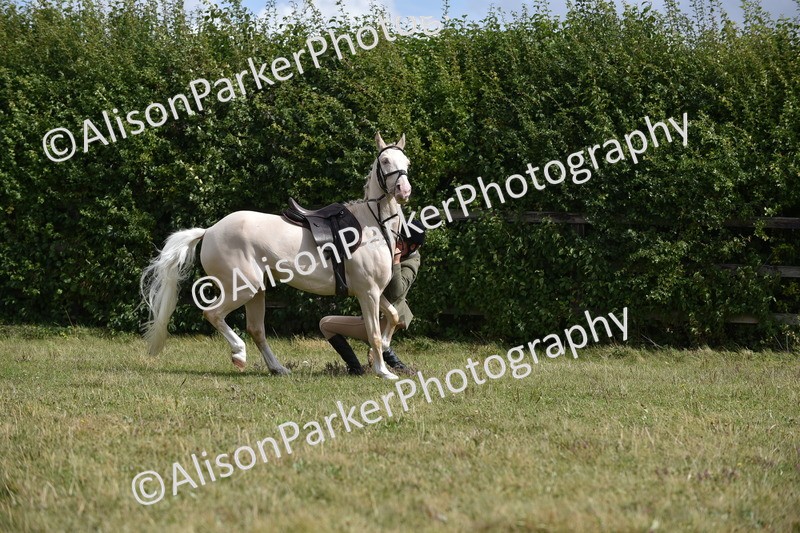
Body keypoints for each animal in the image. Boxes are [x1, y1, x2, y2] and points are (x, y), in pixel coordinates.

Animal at [139, 132, 411, 380]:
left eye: (406, 162)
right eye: (385, 160)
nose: (403, 190)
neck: (371, 225)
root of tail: (209, 231)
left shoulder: (373, 292)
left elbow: (394, 316)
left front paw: (382, 354)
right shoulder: (368, 293)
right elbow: (374, 332)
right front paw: (384, 372)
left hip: (256, 291)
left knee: (256, 330)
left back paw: (277, 368)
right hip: (243, 288)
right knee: (213, 314)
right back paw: (239, 354)